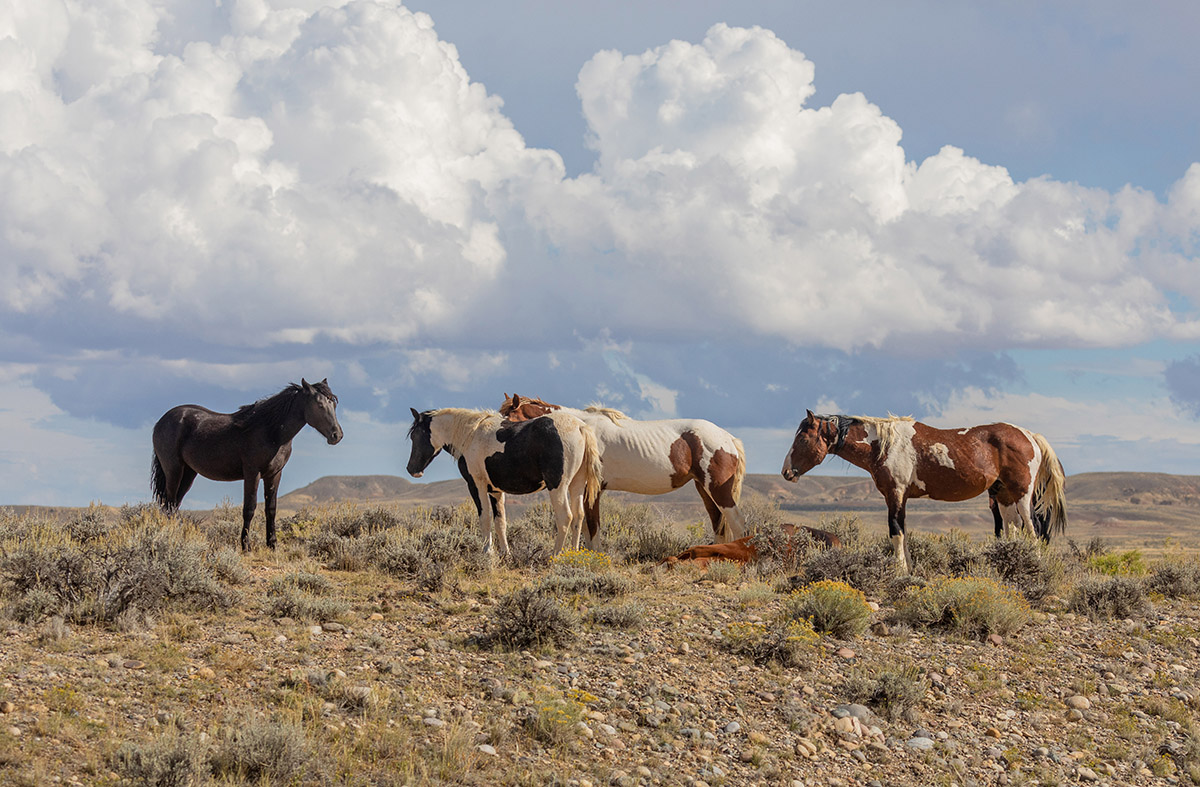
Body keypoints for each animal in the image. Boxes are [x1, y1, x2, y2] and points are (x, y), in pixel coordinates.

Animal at [151, 379, 343, 551]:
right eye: (319, 405)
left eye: (333, 404)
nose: (337, 435)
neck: (271, 432)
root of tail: (162, 421)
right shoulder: (252, 473)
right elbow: (249, 508)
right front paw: (246, 546)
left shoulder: (274, 474)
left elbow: (271, 509)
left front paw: (272, 544)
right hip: (174, 470)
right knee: (169, 503)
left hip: (189, 472)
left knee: (174, 504)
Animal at [406, 407, 602, 558]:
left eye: (415, 435)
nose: (411, 469)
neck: (470, 435)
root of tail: (580, 427)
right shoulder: (495, 490)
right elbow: (500, 521)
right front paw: (505, 553)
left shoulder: (476, 485)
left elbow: (484, 518)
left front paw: (487, 552)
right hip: (577, 484)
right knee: (578, 516)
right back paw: (572, 553)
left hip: (558, 487)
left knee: (565, 517)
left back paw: (555, 555)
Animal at [500, 394, 748, 548]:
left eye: (508, 417)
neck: (581, 428)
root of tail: (728, 438)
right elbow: (587, 525)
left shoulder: (592, 490)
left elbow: (593, 527)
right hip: (704, 489)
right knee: (718, 523)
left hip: (718, 489)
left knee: (737, 522)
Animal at [782, 411, 1066, 573]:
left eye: (803, 438)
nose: (786, 472)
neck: (883, 445)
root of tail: (1030, 435)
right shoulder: (901, 497)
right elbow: (904, 533)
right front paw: (908, 569)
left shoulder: (895, 494)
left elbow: (896, 532)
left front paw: (898, 570)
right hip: (1003, 495)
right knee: (1013, 528)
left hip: (1022, 494)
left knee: (1033, 529)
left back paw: (1034, 566)